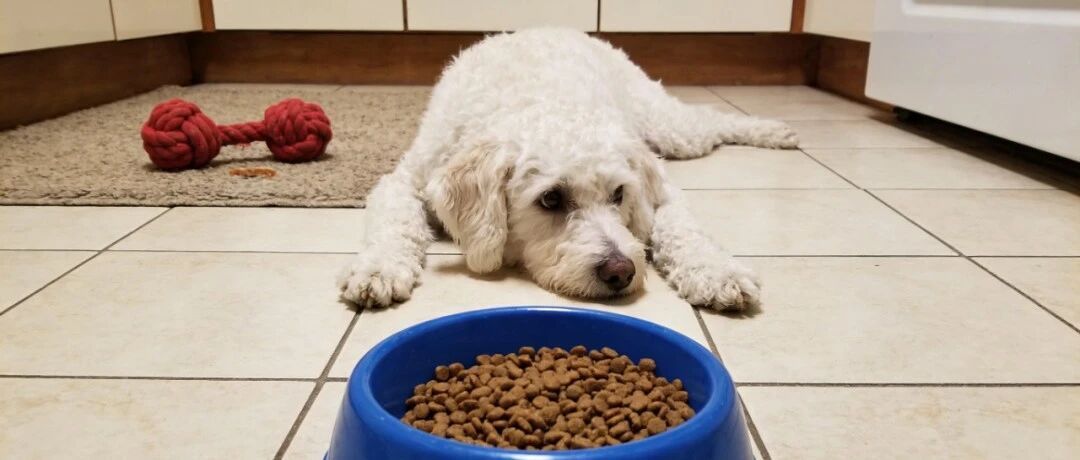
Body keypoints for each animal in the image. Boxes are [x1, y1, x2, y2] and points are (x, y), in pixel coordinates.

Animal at [338, 28, 797, 311]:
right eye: (551, 199)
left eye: (619, 194)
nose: (621, 271)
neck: (538, 100)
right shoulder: (403, 182)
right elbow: (395, 224)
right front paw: (378, 268)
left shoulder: (662, 189)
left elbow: (684, 230)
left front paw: (716, 271)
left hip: (670, 129)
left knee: (714, 120)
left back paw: (774, 130)